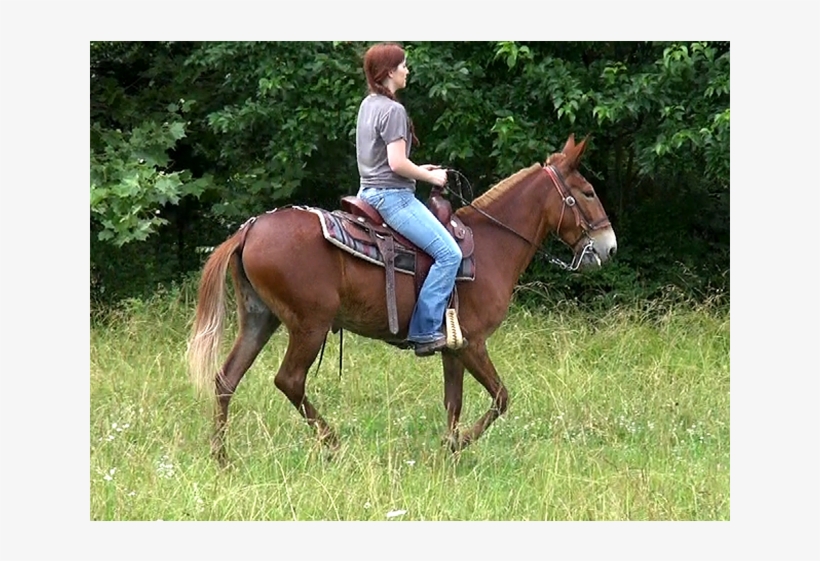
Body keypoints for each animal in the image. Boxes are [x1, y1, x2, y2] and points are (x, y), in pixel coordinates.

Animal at [187, 133, 617, 464]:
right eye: (588, 192)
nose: (609, 247)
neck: (490, 244)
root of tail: (249, 229)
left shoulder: (453, 347)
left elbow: (453, 402)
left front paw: (449, 451)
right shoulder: (473, 343)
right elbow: (500, 398)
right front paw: (459, 443)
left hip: (260, 319)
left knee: (226, 379)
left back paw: (221, 457)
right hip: (310, 325)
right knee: (289, 380)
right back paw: (333, 444)